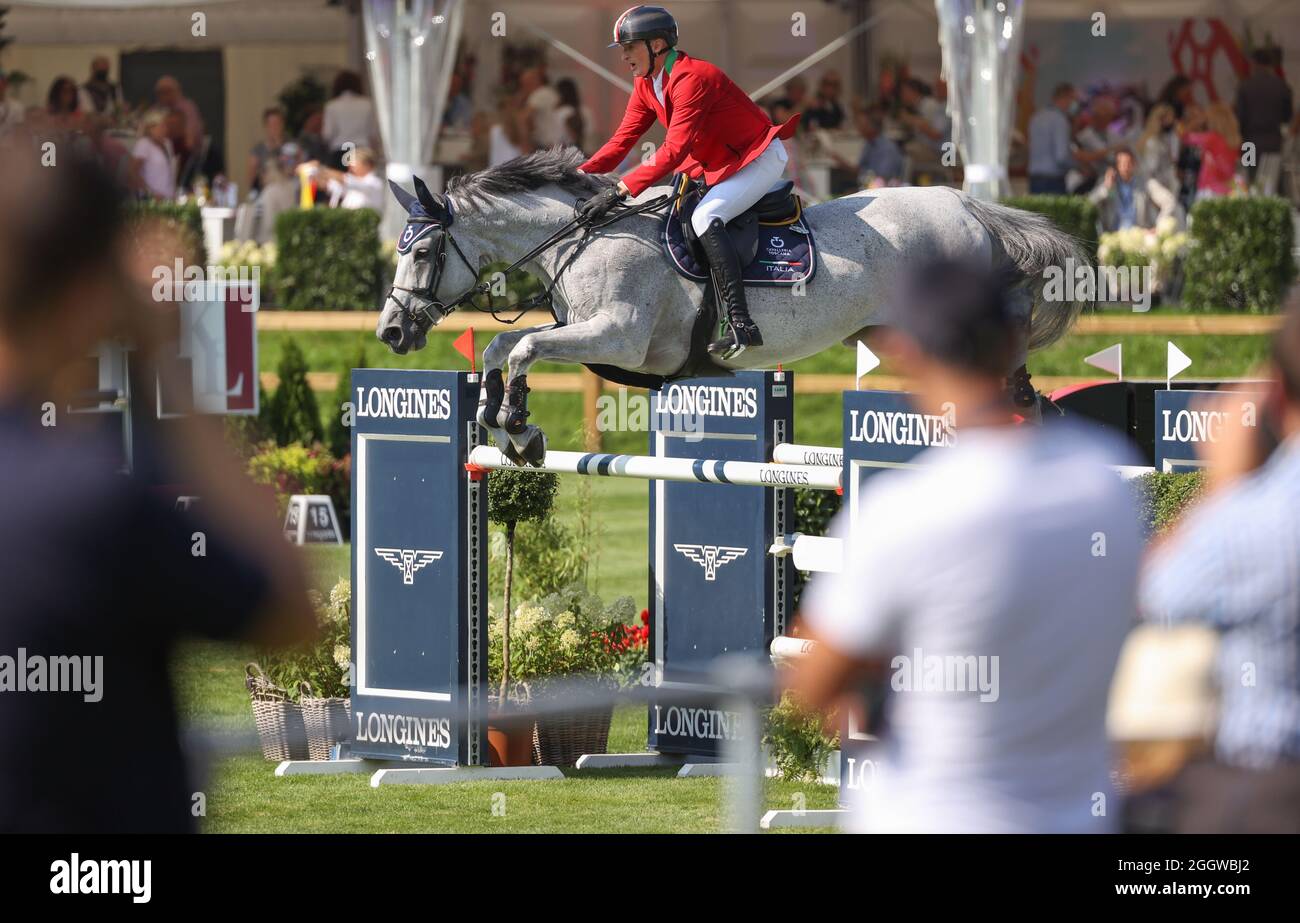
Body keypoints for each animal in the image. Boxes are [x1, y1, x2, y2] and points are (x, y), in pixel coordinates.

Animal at [379, 148, 1086, 465]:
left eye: (423, 253)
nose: (390, 332)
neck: (582, 237)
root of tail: (966, 203)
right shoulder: (582, 330)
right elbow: (502, 345)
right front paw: (506, 424)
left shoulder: (617, 336)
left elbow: (524, 345)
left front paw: (519, 424)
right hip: (895, 334)